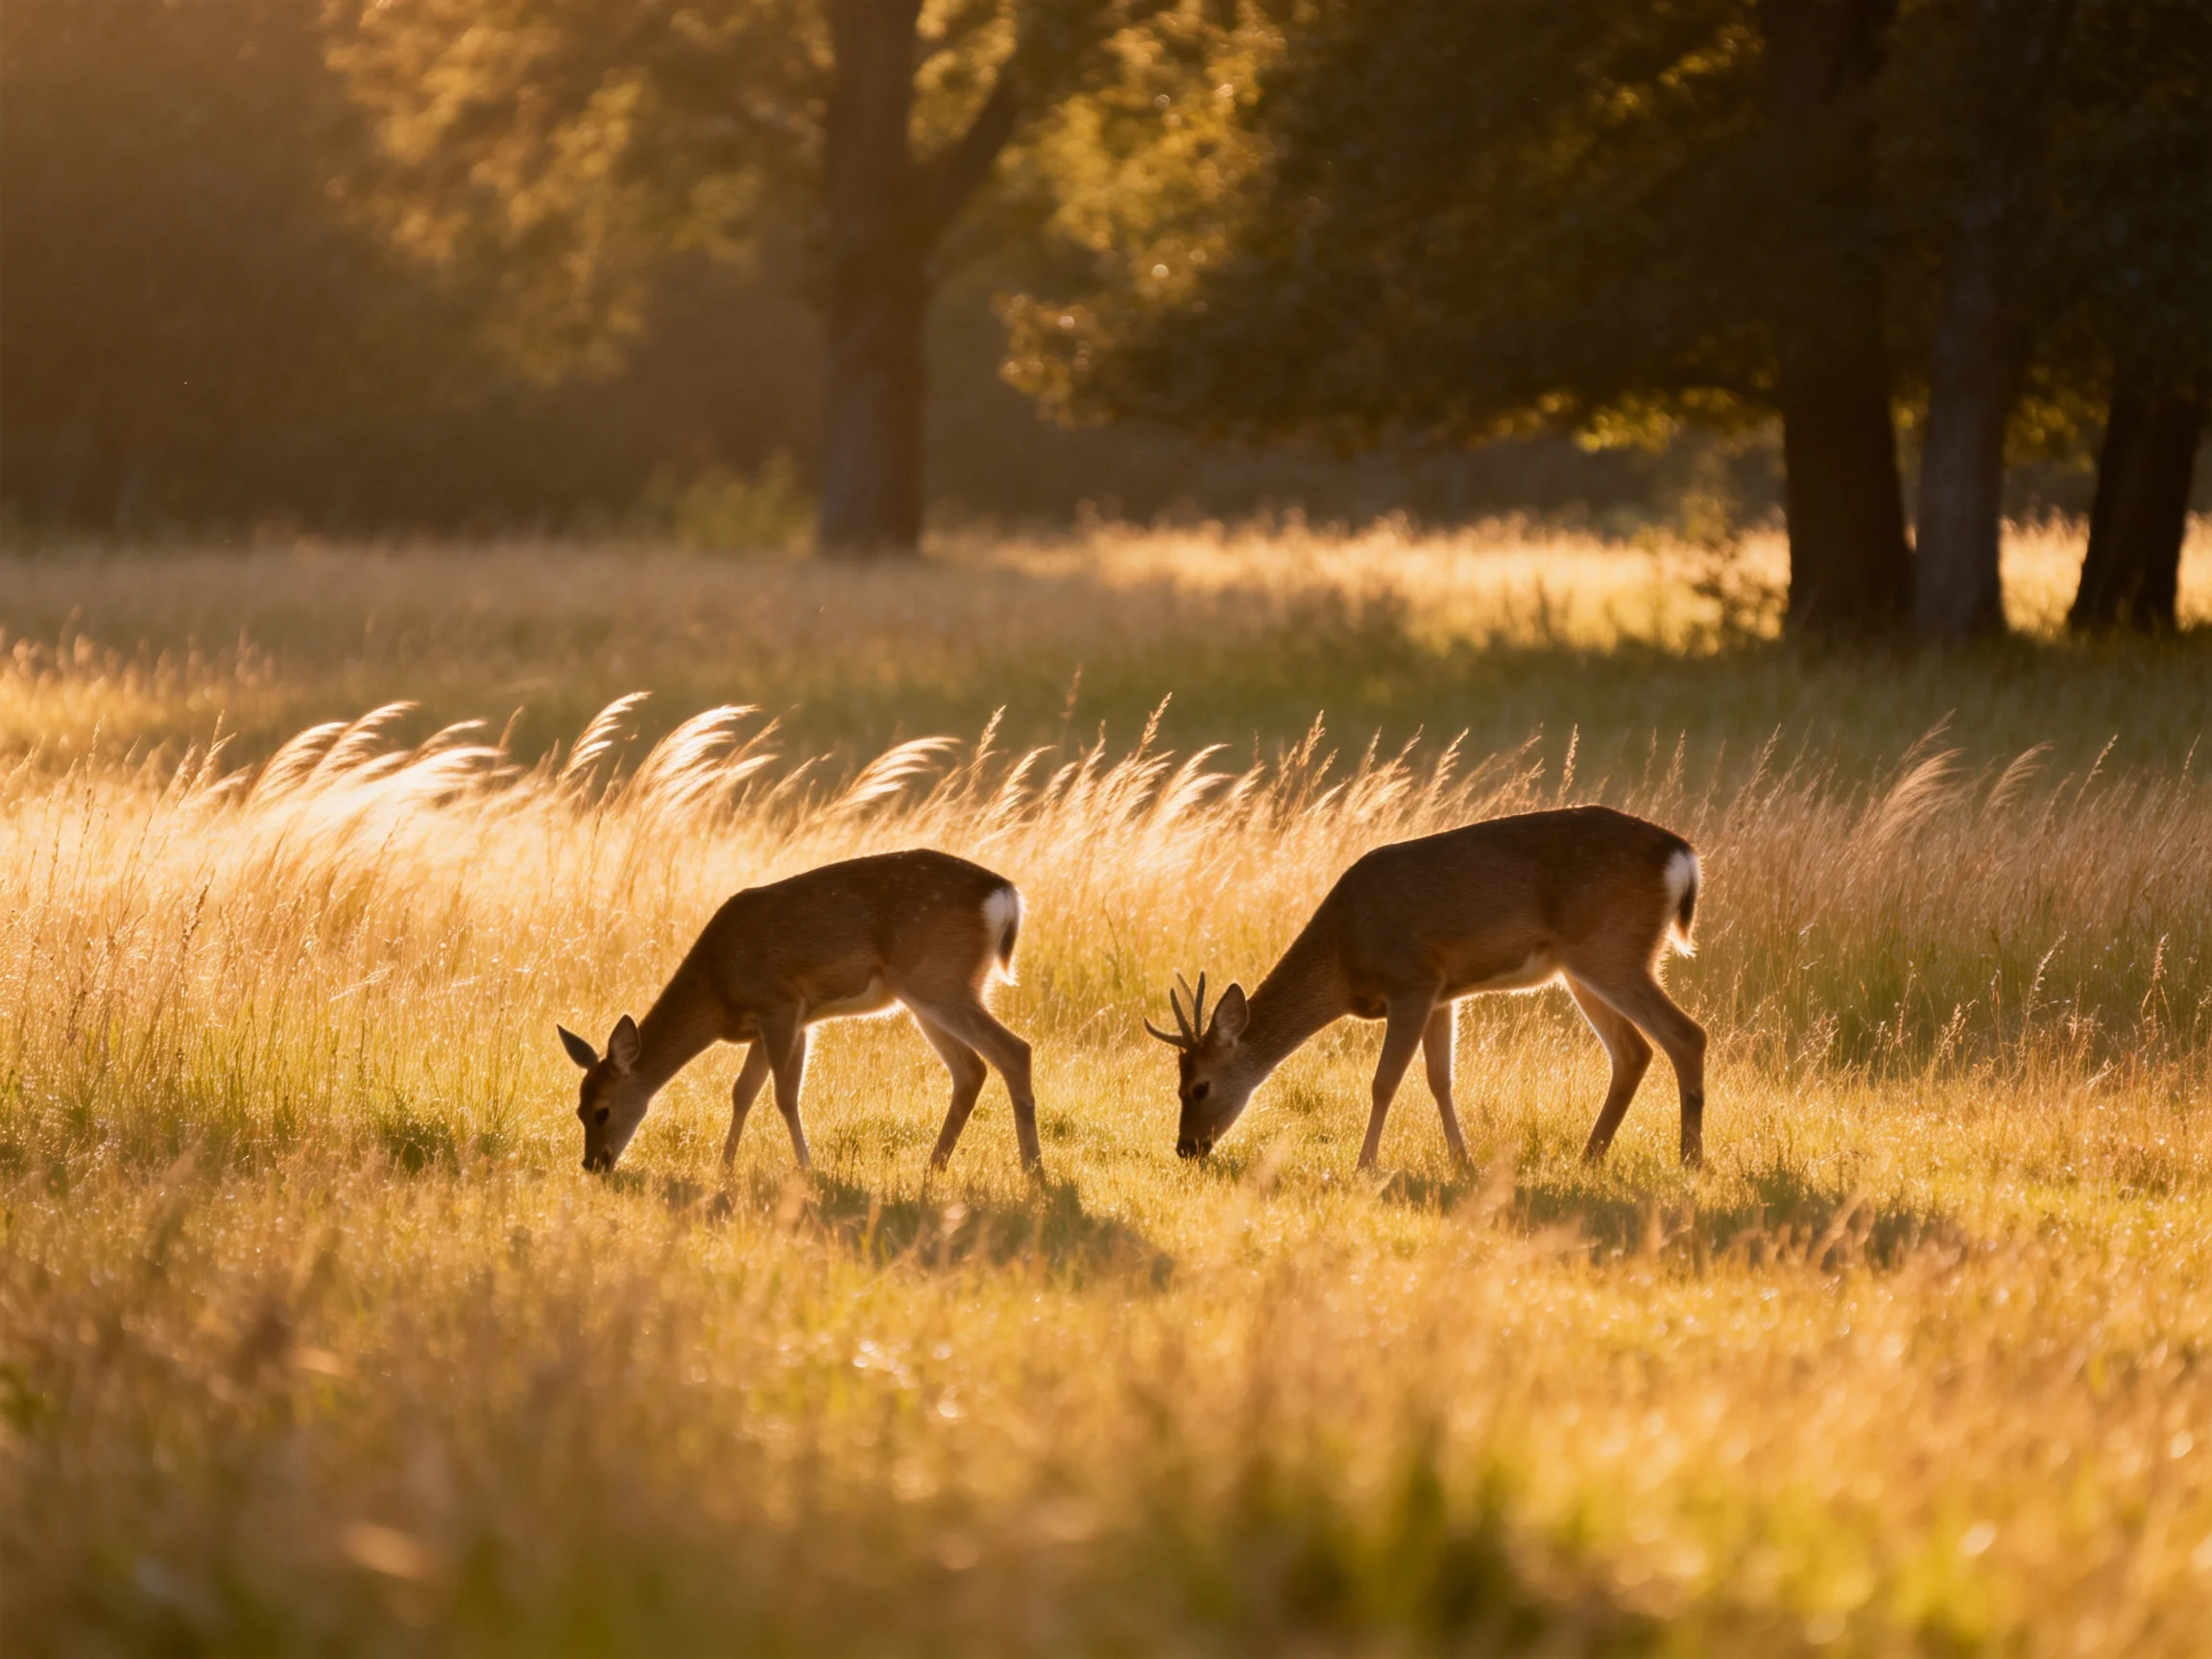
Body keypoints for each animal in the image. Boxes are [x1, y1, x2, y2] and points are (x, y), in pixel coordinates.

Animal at [558, 849, 1039, 1174]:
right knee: (972, 1070)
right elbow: (742, 1092)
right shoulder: (781, 1021)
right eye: (577, 1111)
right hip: (934, 991)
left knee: (1014, 1050)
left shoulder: (781, 1004)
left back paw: (1032, 1169)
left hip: (936, 977)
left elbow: (784, 1095)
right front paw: (725, 1167)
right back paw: (934, 1166)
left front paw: (806, 1167)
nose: (592, 1163)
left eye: (601, 1111)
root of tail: (1005, 895)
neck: (717, 989)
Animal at [1146, 805, 1706, 1169]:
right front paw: (1463, 1161)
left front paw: (1365, 1165)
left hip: (1609, 947)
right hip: (1582, 964)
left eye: (1199, 1087)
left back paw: (1690, 1159)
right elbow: (1440, 1079)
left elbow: (1384, 1081)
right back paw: (1590, 1157)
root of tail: (1682, 855)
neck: (1345, 953)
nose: (1185, 1148)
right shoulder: (1443, 992)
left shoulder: (1411, 979)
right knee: (1633, 1051)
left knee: (1686, 1034)